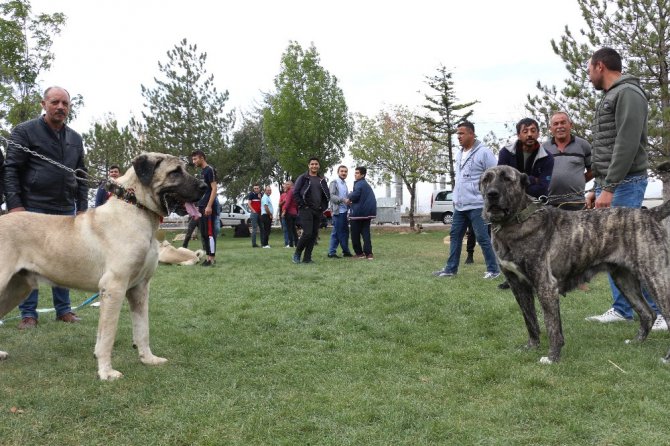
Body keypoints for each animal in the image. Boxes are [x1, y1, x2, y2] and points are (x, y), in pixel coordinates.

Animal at [0, 152, 206, 380]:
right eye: (175, 172)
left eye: (185, 169)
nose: (205, 186)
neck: (136, 207)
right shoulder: (114, 287)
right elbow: (108, 334)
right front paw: (106, 371)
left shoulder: (140, 288)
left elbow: (142, 329)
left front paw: (148, 359)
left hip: (16, 289)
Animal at [480, 166, 670, 364]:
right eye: (485, 180)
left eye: (507, 179)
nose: (491, 194)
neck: (516, 221)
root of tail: (649, 213)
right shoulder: (518, 285)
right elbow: (530, 320)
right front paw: (532, 346)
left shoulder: (546, 286)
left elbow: (552, 326)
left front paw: (552, 358)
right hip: (624, 280)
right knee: (648, 314)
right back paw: (636, 342)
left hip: (654, 277)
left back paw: (666, 358)